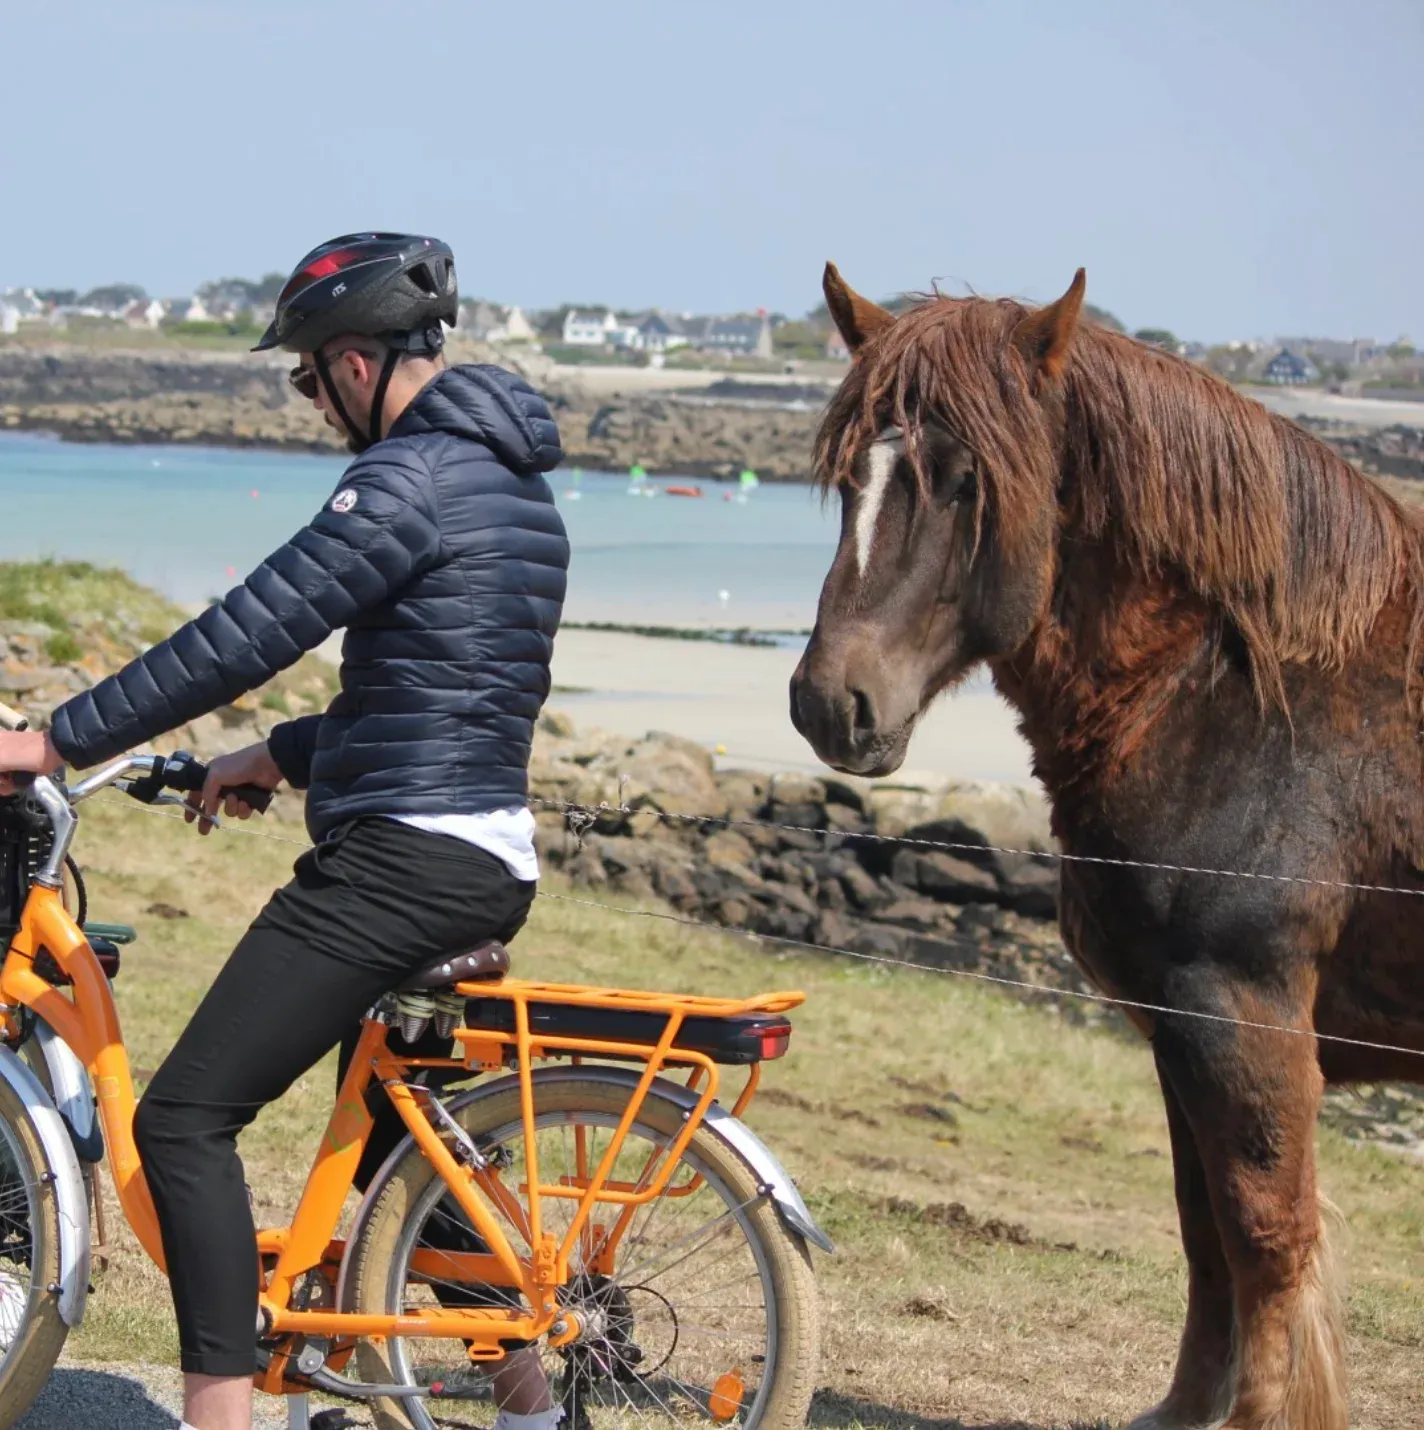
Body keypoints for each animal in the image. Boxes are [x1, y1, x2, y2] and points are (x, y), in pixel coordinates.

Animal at [790, 262, 1424, 1430]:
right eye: (850, 473)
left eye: (965, 481)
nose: (830, 703)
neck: (1245, 696)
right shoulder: (1181, 1026)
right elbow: (1204, 1231)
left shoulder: (1242, 1015)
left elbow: (1266, 1233)